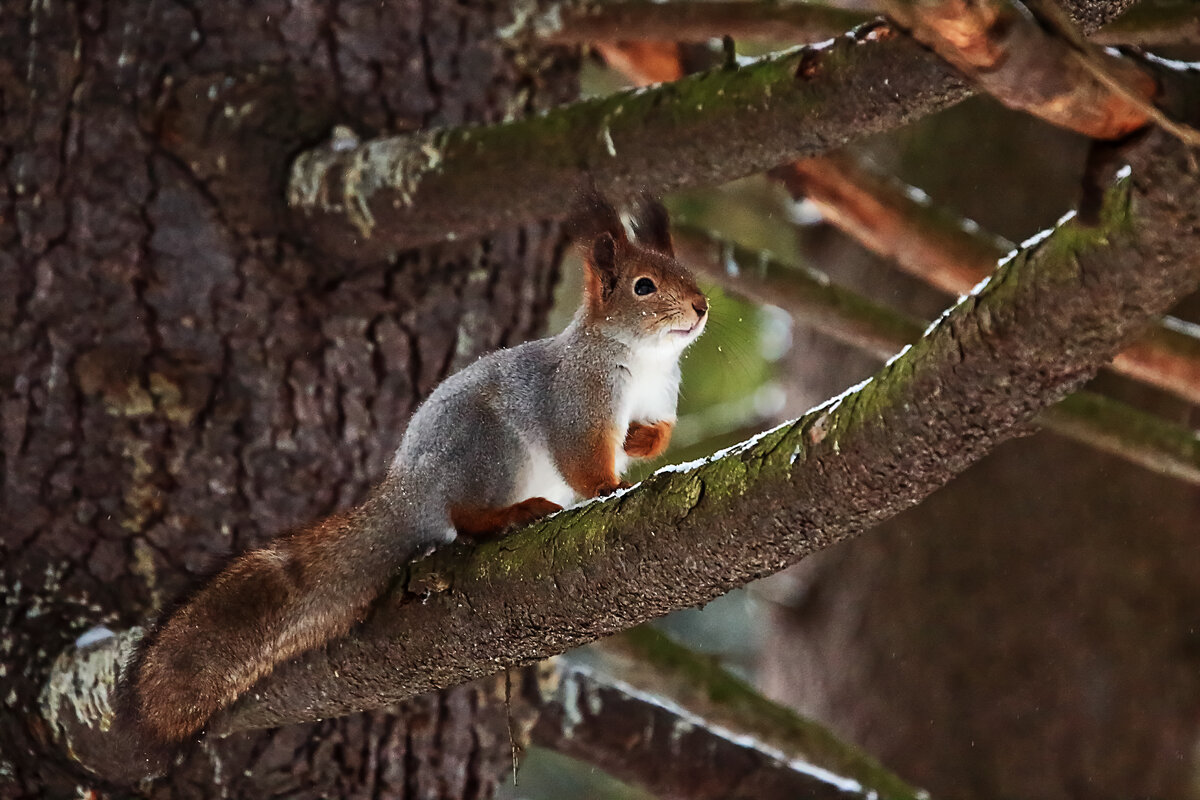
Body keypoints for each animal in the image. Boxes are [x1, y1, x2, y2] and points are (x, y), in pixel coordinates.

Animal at [126, 191, 705, 753]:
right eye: (644, 286)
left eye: (685, 271)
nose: (701, 308)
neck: (645, 358)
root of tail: (410, 493)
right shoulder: (579, 398)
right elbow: (581, 458)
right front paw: (611, 486)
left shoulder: (659, 397)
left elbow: (655, 433)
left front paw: (638, 443)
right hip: (492, 453)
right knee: (466, 518)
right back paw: (514, 513)